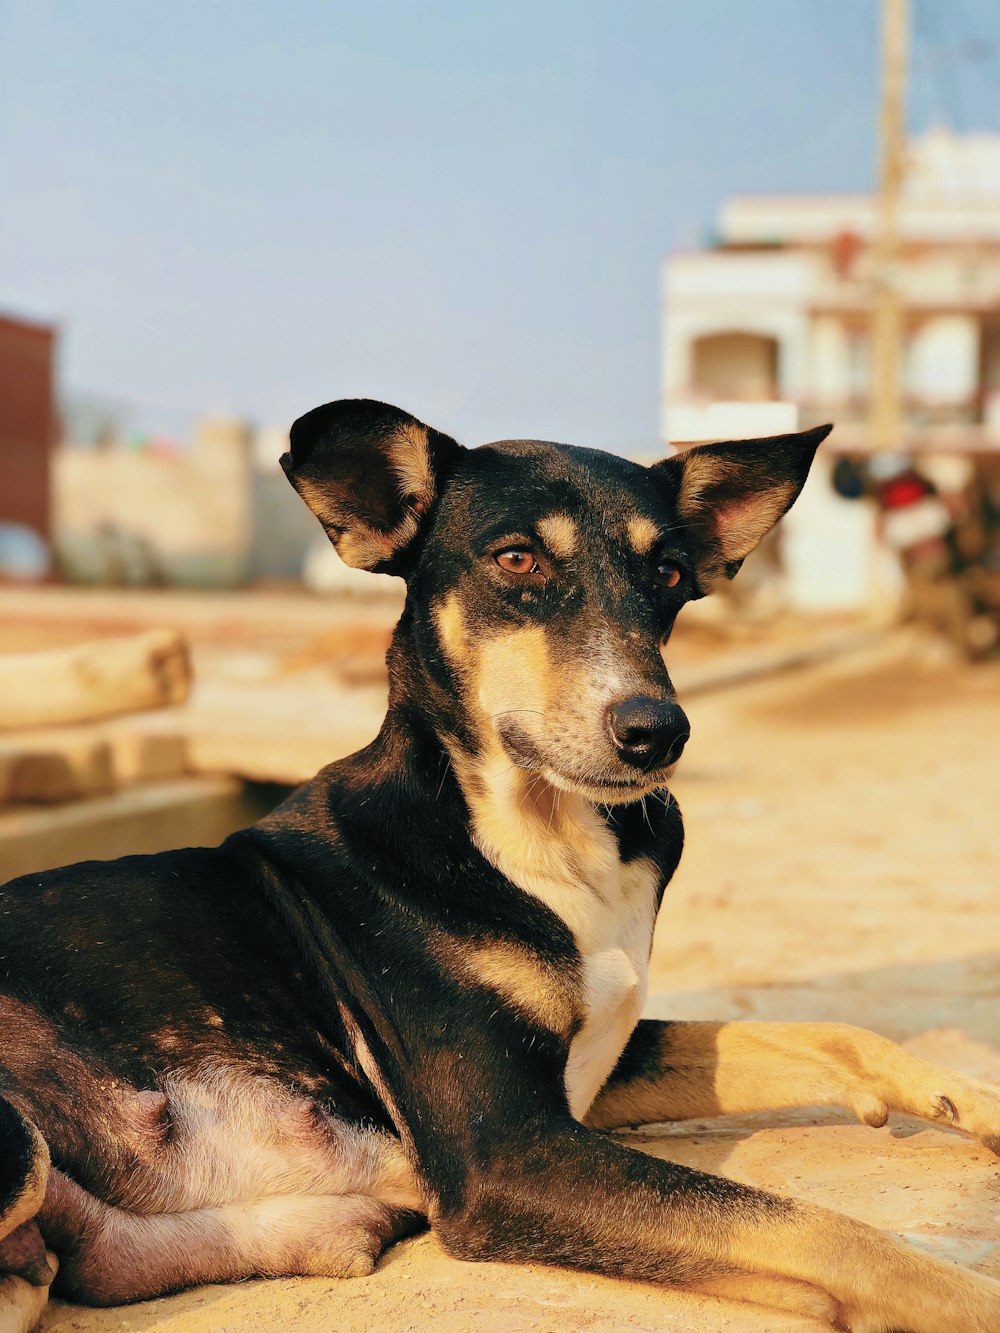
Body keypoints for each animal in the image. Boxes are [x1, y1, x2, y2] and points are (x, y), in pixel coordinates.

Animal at [1, 399, 1000, 1327]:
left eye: (669, 573)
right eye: (518, 560)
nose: (657, 732)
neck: (538, 832)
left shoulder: (594, 1064)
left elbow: (820, 1032)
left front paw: (965, 1099)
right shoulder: (506, 1152)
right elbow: (817, 1226)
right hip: (21, 1146)